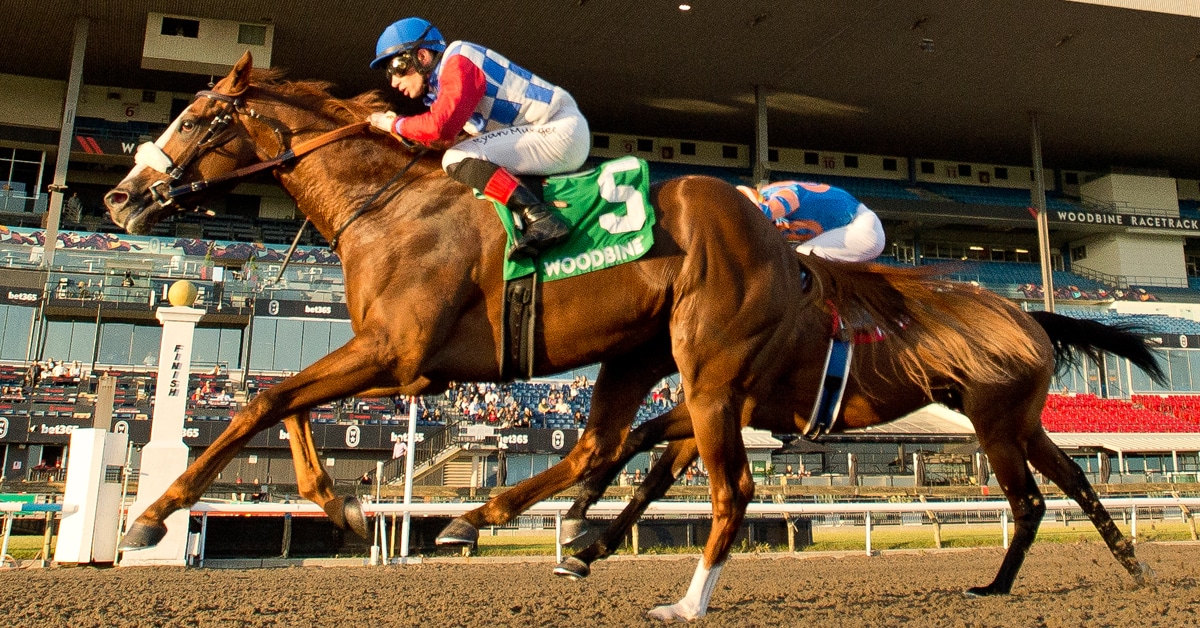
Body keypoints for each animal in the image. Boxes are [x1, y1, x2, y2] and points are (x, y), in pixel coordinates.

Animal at [101, 52, 1159, 620]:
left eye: (200, 115)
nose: (119, 196)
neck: (390, 205)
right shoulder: (401, 365)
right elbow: (283, 406)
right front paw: (347, 508)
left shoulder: (398, 355)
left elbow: (266, 398)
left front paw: (155, 516)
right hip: (657, 358)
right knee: (602, 445)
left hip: (770, 379)